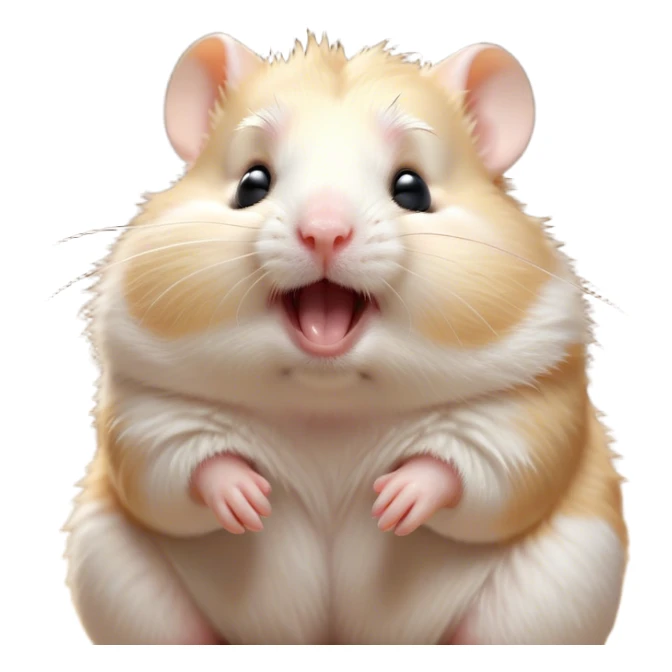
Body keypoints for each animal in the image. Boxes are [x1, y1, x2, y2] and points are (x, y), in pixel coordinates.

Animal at [63, 32, 628, 645]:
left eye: (412, 189)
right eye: (251, 184)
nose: (324, 233)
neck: (329, 403)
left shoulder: (532, 403)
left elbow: (483, 466)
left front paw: (394, 502)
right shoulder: (143, 404)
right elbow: (171, 462)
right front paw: (250, 500)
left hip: (549, 595)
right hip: (117, 576)